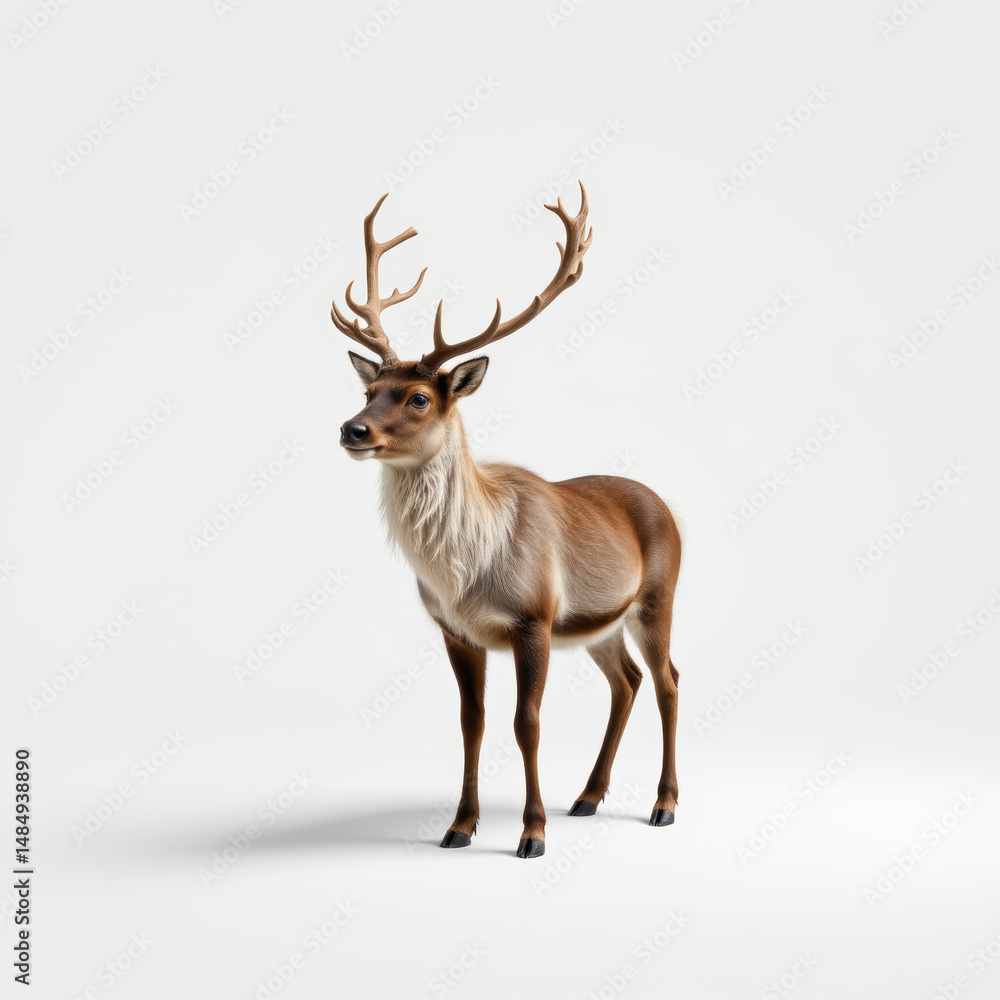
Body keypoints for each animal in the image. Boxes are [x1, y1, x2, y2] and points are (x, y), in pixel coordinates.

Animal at [332, 183, 681, 859]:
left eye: (419, 397)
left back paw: (664, 804)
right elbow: (473, 722)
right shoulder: (455, 630)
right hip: (600, 624)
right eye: (368, 392)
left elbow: (528, 723)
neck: (466, 574)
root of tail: (666, 504)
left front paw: (532, 832)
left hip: (658, 596)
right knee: (626, 681)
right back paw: (588, 796)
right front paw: (459, 826)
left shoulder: (533, 616)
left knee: (668, 680)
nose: (351, 430)